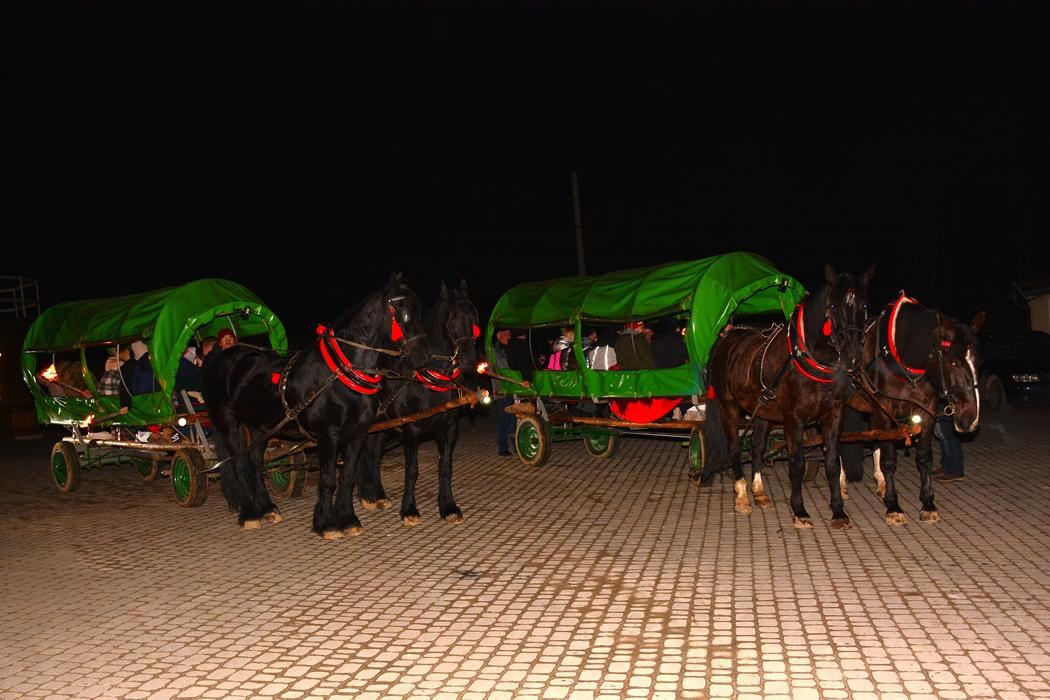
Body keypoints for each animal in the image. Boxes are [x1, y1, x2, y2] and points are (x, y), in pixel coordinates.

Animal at [202, 272, 429, 538]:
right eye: (401, 310)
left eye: (419, 311)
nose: (423, 357)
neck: (340, 374)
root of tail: (222, 357)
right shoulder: (328, 434)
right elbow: (328, 478)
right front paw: (326, 523)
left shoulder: (358, 433)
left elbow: (348, 475)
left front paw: (348, 519)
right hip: (227, 421)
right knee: (238, 463)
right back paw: (249, 514)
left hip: (260, 426)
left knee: (254, 463)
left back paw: (267, 508)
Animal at [356, 279, 482, 525]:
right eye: (450, 318)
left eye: (473, 316)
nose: (468, 361)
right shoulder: (411, 429)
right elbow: (412, 470)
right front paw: (409, 510)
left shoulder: (449, 429)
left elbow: (445, 467)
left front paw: (448, 507)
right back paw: (369, 495)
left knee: (374, 452)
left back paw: (378, 495)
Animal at [704, 264, 874, 528]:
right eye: (833, 305)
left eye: (864, 305)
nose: (853, 355)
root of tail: (725, 338)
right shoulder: (794, 419)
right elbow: (797, 462)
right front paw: (800, 510)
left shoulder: (833, 415)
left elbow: (832, 463)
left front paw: (838, 511)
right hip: (728, 406)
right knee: (734, 448)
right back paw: (742, 496)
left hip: (763, 411)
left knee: (757, 447)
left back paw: (759, 492)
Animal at [842, 293, 980, 525]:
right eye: (954, 362)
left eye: (979, 363)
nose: (970, 419)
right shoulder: (884, 409)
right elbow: (890, 459)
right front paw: (893, 506)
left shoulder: (926, 410)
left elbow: (924, 457)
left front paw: (928, 504)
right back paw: (842, 483)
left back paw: (880, 482)